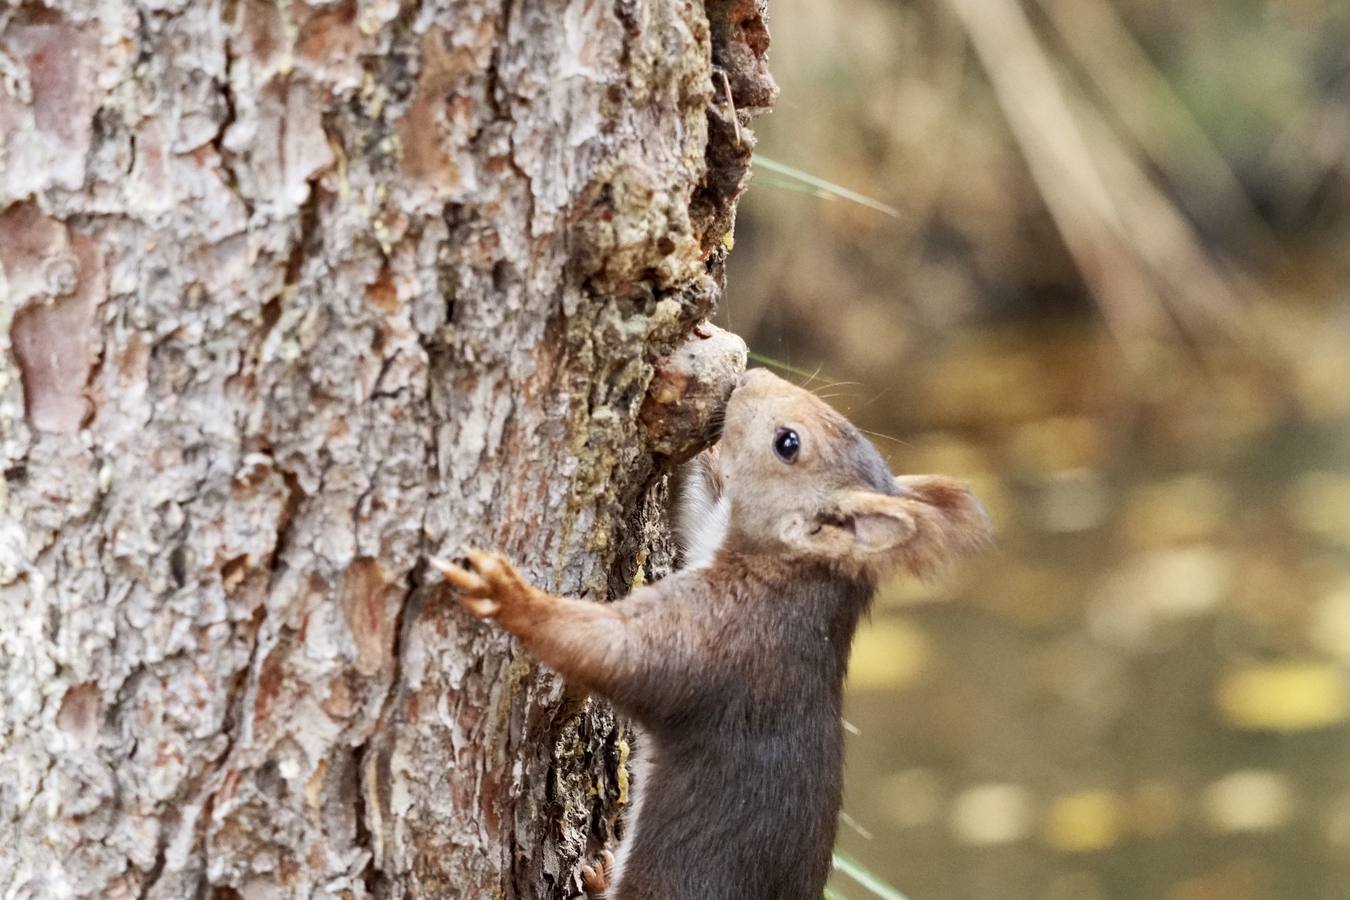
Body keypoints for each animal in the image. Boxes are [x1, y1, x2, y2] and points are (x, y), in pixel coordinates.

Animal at [434, 367, 993, 900]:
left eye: (788, 443)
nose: (752, 376)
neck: (793, 574)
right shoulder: (709, 536)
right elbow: (698, 504)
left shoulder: (719, 637)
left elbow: (613, 651)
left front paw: (509, 595)